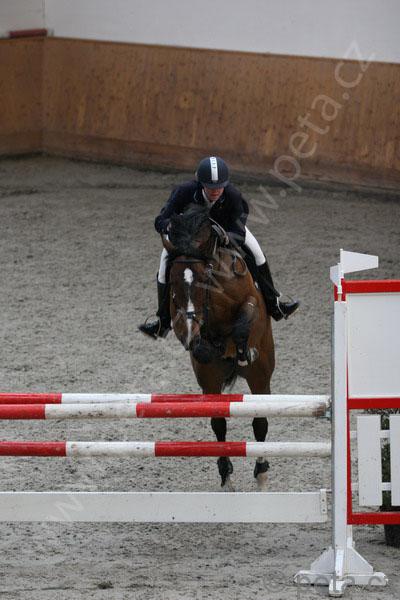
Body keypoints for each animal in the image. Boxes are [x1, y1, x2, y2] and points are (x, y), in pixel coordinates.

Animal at [162, 204, 275, 490]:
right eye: (173, 282)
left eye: (204, 276)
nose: (191, 331)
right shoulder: (180, 320)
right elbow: (200, 345)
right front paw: (208, 347)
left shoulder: (250, 300)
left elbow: (244, 321)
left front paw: (243, 350)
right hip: (210, 380)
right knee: (219, 423)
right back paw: (226, 477)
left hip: (260, 376)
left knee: (260, 421)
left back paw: (261, 472)